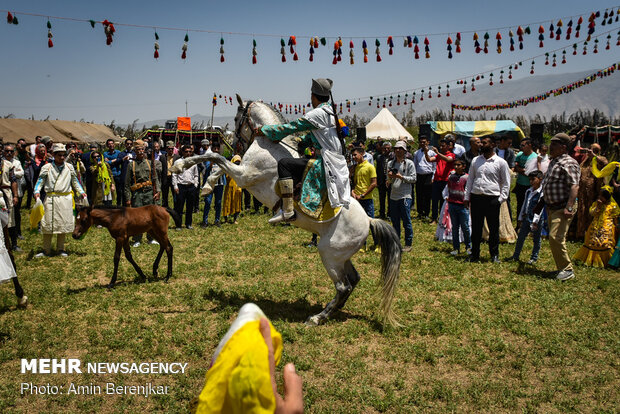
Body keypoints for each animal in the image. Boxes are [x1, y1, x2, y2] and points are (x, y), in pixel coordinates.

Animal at [170, 96, 402, 326]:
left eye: (236, 118)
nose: (235, 144)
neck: (268, 144)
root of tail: (369, 220)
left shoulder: (244, 175)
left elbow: (215, 157)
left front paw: (181, 166)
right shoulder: (241, 171)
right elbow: (220, 162)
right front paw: (207, 185)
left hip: (330, 253)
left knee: (343, 286)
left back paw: (317, 317)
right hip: (342, 256)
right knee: (353, 281)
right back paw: (331, 310)